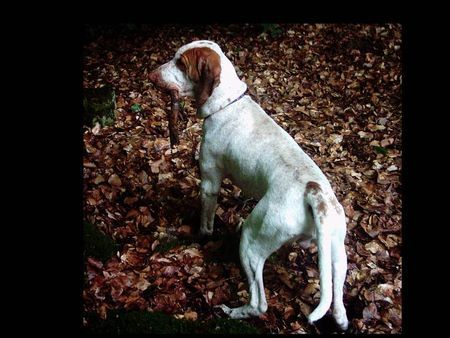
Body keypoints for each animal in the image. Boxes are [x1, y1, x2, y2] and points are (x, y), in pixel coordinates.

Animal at [149, 39, 350, 330]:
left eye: (180, 63)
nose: (151, 75)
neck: (227, 103)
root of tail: (314, 191)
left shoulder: (209, 182)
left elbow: (205, 225)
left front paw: (199, 237)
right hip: (336, 253)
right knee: (339, 308)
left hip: (251, 243)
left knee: (259, 303)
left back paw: (232, 312)